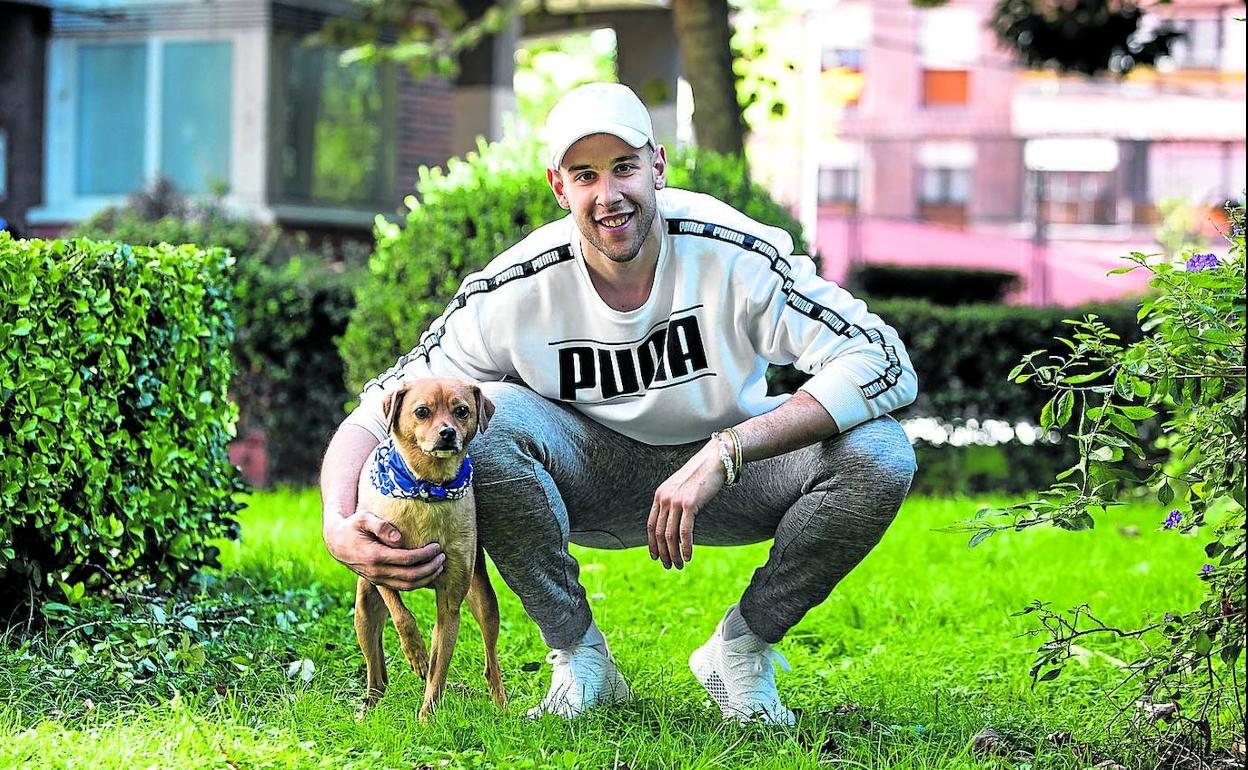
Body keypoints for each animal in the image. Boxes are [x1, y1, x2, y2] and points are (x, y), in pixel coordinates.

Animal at [354, 374, 504, 718]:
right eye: (422, 411)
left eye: (462, 411)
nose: (447, 433)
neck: (427, 489)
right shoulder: (382, 570)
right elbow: (403, 617)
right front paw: (416, 653)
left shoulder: (449, 607)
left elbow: (438, 672)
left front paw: (427, 717)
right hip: (364, 607)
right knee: (375, 671)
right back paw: (368, 709)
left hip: (484, 603)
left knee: (491, 663)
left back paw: (503, 708)